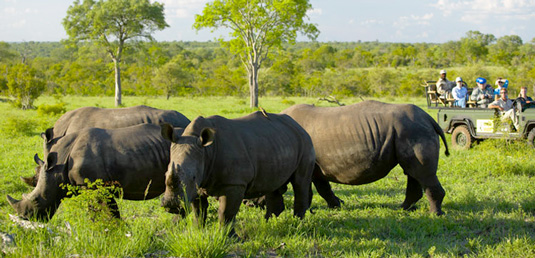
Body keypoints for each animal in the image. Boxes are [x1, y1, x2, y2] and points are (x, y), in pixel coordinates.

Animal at [161, 112, 316, 235]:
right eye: (165, 174)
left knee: (300, 182)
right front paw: (197, 231)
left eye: (193, 177)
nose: (171, 204)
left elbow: (226, 212)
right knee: (273, 185)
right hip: (277, 144)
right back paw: (268, 224)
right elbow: (198, 211)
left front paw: (228, 237)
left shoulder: (234, 183)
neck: (206, 151)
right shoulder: (198, 185)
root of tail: (298, 125)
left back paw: (297, 225)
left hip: (305, 142)